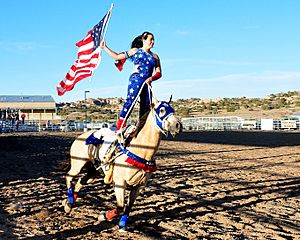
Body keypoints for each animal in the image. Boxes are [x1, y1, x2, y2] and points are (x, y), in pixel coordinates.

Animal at [62, 96, 182, 231]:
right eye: (161, 110)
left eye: (172, 109)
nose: (178, 125)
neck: (140, 150)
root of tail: (82, 136)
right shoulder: (120, 182)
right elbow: (120, 206)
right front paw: (102, 216)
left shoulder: (139, 186)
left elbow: (128, 207)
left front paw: (122, 225)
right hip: (78, 164)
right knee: (69, 177)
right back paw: (69, 202)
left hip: (94, 171)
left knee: (80, 182)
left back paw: (68, 205)